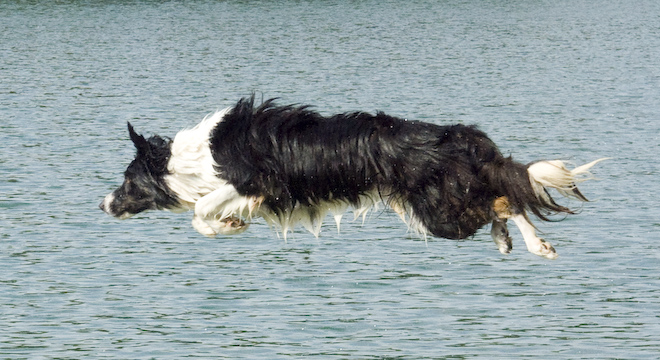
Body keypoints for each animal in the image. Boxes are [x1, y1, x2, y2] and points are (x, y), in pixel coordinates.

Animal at [99, 95, 608, 258]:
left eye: (127, 181)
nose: (102, 204)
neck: (188, 159)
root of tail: (456, 136)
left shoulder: (256, 182)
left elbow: (200, 212)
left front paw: (227, 225)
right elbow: (202, 212)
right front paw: (230, 224)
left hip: (439, 214)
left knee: (504, 198)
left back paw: (536, 244)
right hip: (449, 206)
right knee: (500, 198)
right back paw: (514, 242)